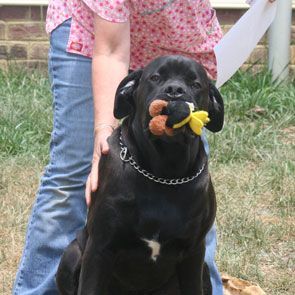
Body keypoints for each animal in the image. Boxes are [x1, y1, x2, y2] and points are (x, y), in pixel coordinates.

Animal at [56, 56, 224, 295]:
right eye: (155, 78)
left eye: (195, 84)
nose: (175, 90)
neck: (164, 173)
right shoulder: (99, 248)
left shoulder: (193, 253)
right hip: (71, 255)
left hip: (204, 273)